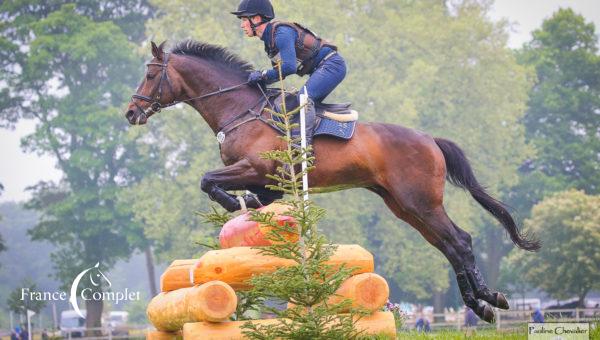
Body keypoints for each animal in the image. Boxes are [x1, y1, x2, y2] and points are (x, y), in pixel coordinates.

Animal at [125, 40, 540, 324]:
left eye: (150, 74)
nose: (131, 112)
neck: (240, 110)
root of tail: (429, 139)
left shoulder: (257, 169)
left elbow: (208, 180)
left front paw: (234, 205)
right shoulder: (266, 182)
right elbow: (232, 190)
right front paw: (247, 208)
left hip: (421, 201)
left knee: (461, 241)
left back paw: (490, 300)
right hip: (403, 206)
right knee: (448, 245)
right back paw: (482, 305)